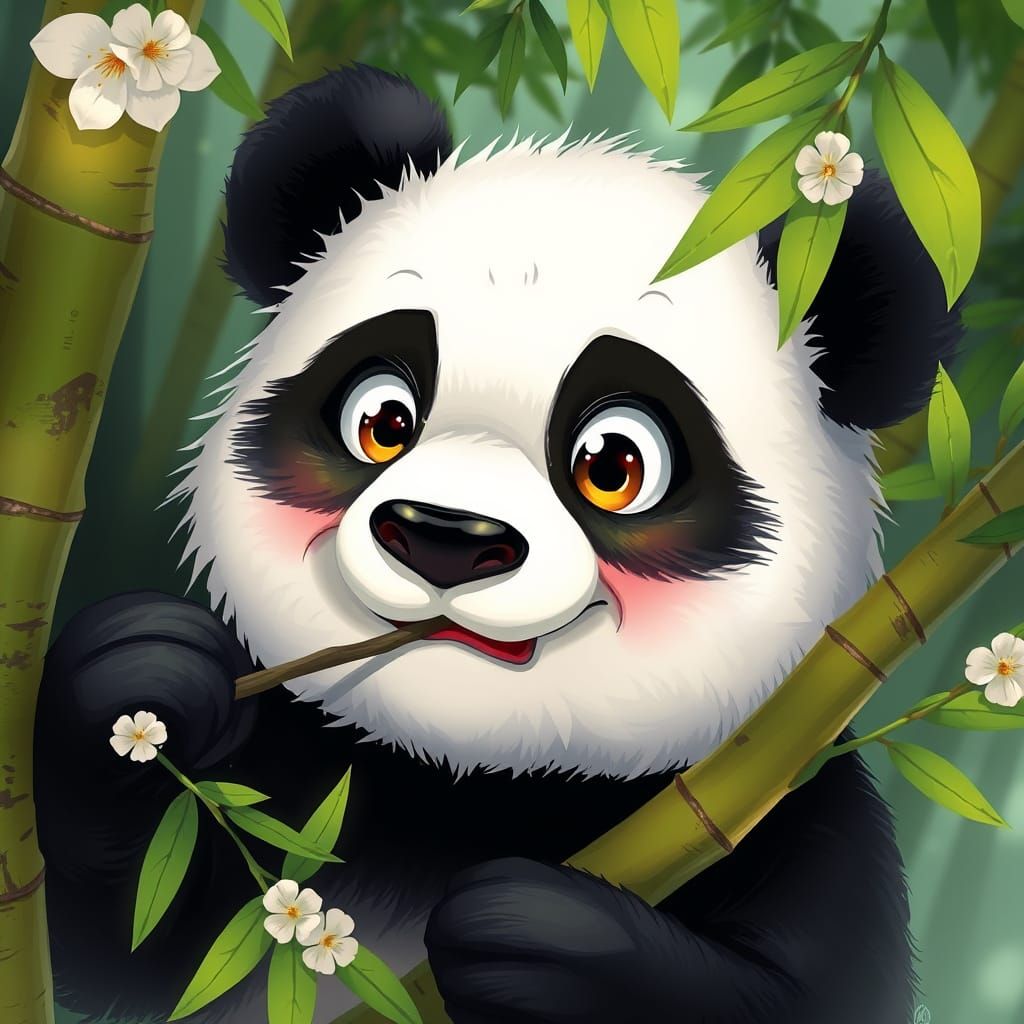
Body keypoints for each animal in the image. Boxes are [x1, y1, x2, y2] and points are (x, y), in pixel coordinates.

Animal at [35, 64, 960, 1024]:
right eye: (382, 419)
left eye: (615, 463)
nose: (443, 537)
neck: (464, 781)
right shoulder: (296, 774)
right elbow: (118, 943)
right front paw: (146, 677)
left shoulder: (793, 810)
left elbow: (821, 992)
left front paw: (529, 934)